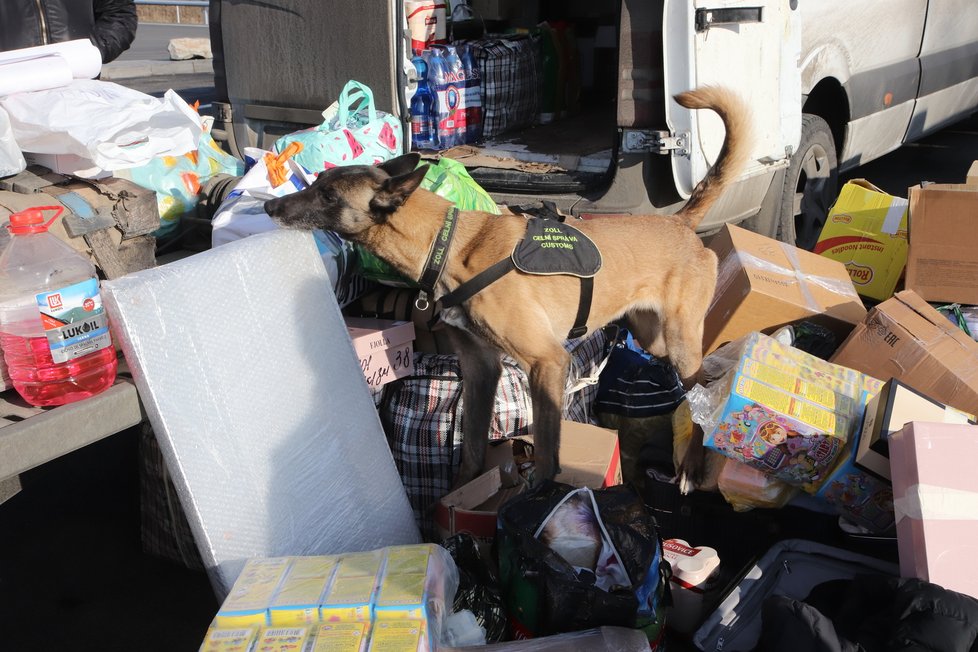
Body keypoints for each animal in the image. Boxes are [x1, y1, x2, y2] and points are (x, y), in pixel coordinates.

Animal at [264, 85, 752, 488]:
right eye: (317, 183)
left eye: (329, 196)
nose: (270, 207)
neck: (448, 244)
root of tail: (680, 223)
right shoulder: (481, 368)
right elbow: (472, 446)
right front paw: (462, 492)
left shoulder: (547, 362)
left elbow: (548, 446)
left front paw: (539, 492)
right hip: (655, 339)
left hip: (679, 340)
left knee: (701, 392)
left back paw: (691, 465)